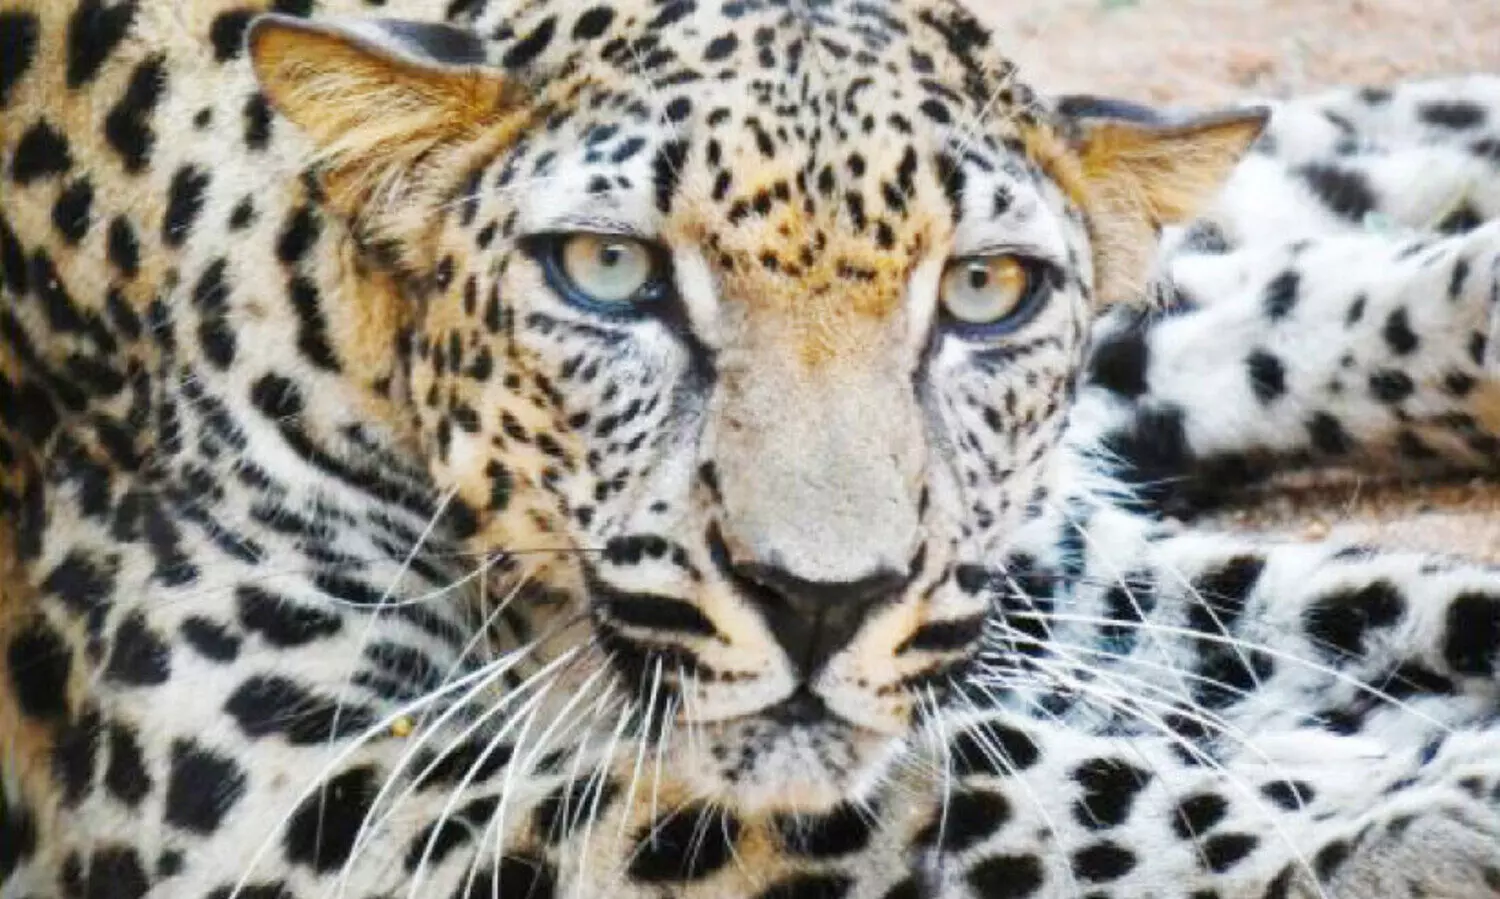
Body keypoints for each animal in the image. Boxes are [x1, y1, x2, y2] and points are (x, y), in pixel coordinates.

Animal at [2, 0, 1499, 897]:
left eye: (986, 292)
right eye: (608, 271)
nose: (821, 600)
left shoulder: (1016, 574)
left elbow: (1356, 610)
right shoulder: (289, 784)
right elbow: (967, 783)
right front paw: (1422, 816)